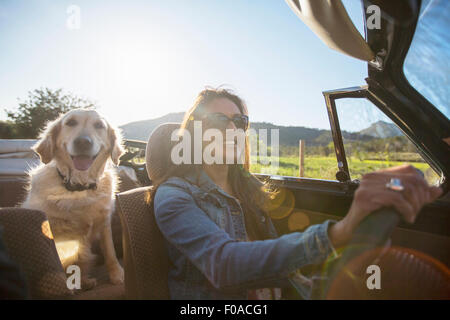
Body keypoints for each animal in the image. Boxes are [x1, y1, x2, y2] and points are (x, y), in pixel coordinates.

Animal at [22, 109, 125, 288]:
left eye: (99, 125)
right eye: (70, 122)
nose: (83, 142)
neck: (79, 185)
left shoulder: (104, 221)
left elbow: (110, 251)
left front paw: (116, 273)